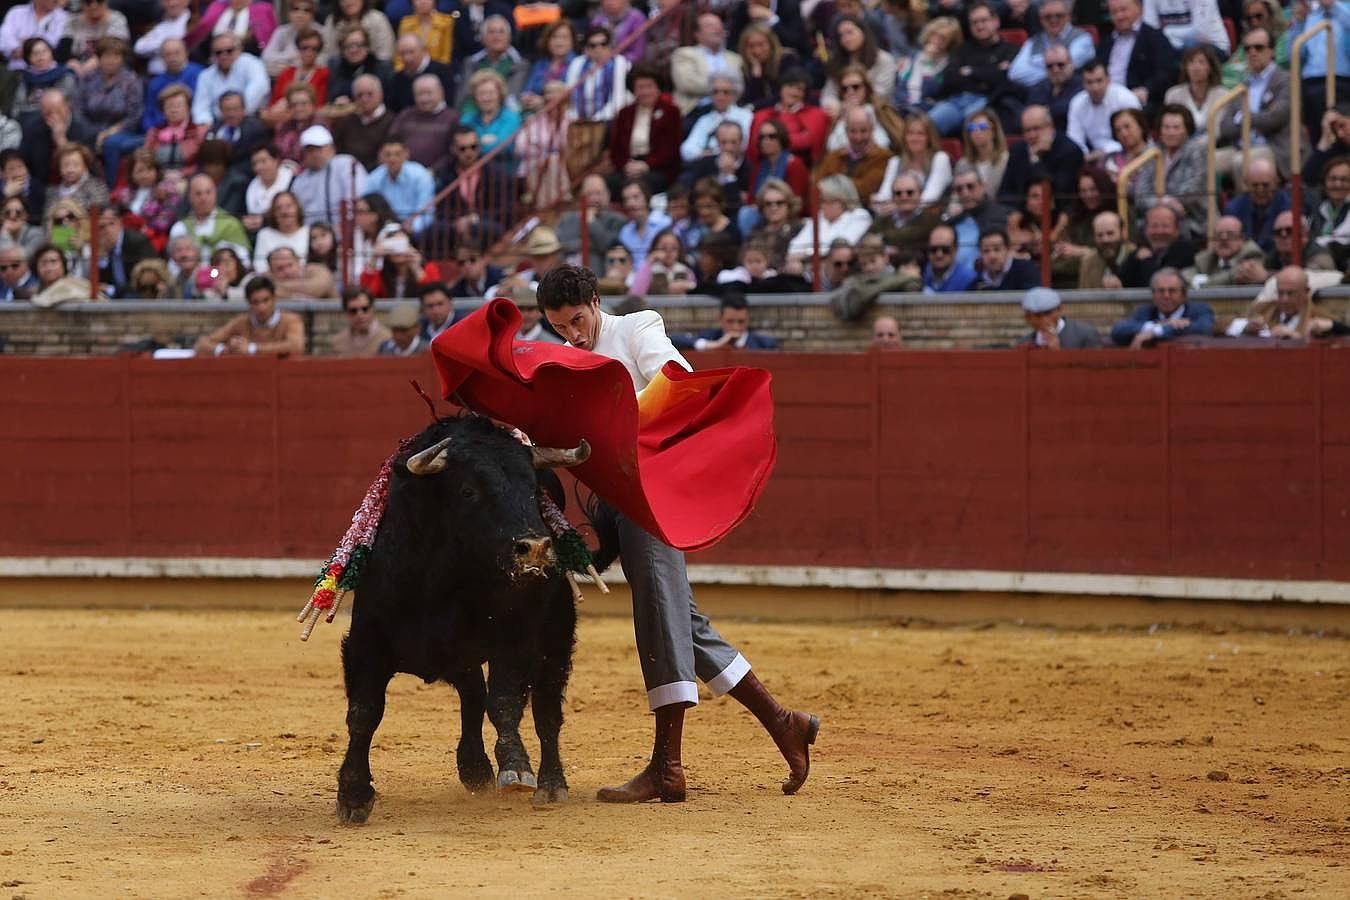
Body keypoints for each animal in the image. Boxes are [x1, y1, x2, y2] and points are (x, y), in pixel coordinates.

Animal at [334, 415, 615, 825]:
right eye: (469, 491)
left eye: (533, 490)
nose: (535, 548)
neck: (443, 578)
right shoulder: (366, 642)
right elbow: (364, 712)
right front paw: (353, 794)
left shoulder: (515, 640)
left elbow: (505, 702)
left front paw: (516, 766)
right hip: (459, 656)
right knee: (472, 695)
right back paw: (475, 768)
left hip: (556, 639)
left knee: (545, 710)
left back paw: (550, 784)